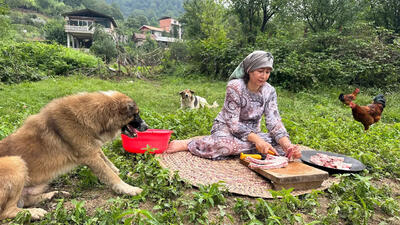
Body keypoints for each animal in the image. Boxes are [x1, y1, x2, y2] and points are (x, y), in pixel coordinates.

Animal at [0, 90, 148, 220]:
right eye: (136, 115)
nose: (146, 127)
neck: (96, 115)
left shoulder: (93, 148)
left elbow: (107, 162)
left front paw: (124, 173)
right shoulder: (90, 156)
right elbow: (110, 175)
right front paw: (128, 189)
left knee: (25, 200)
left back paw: (54, 195)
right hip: (16, 162)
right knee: (7, 211)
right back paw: (34, 212)